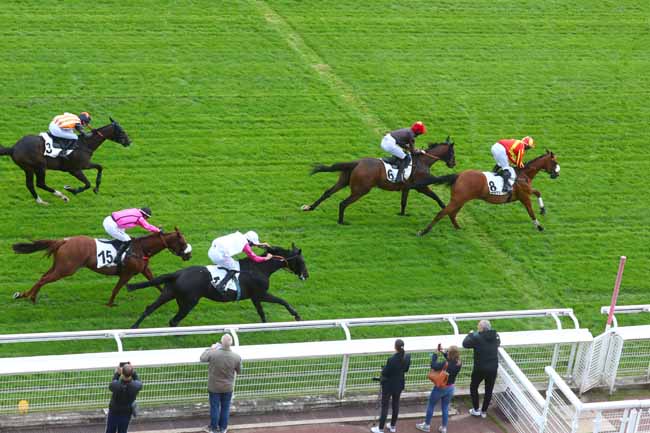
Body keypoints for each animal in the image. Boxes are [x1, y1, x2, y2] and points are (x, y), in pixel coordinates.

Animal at [0, 117, 132, 205]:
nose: (129, 142)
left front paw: (96, 188)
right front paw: (72, 190)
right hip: (40, 166)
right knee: (40, 184)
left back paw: (40, 201)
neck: (84, 144)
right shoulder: (74, 169)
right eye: (122, 131)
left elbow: (99, 167)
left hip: (29, 168)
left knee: (30, 185)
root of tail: (13, 148)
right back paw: (62, 196)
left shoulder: (85, 164)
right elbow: (87, 184)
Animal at [11, 228, 191, 306]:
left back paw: (26, 295)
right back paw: (30, 297)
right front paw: (110, 303)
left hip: (59, 266)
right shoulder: (127, 273)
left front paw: (167, 296)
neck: (140, 249)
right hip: (66, 269)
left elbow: (155, 282)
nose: (188, 255)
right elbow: (116, 289)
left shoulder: (144, 269)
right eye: (182, 242)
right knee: (44, 280)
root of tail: (64, 241)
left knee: (42, 277)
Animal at [127, 243, 308, 328]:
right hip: (189, 302)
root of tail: (178, 273)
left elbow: (261, 312)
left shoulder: (255, 297)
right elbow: (282, 301)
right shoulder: (261, 294)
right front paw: (297, 315)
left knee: (150, 308)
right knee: (173, 321)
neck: (259, 268)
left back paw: (135, 327)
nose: (306, 275)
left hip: (169, 293)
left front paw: (264, 326)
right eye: (301, 261)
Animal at [300, 137, 456, 223]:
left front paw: (402, 214)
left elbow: (403, 202)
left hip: (343, 181)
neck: (423, 161)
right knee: (343, 203)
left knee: (328, 192)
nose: (453, 163)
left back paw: (310, 207)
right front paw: (448, 211)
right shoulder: (421, 186)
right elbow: (436, 196)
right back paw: (341, 221)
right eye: (453, 153)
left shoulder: (407, 187)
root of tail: (357, 162)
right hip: (360, 190)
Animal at [410, 150, 556, 235]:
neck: (522, 174)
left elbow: (537, 192)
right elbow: (531, 210)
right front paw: (539, 226)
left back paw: (458, 228)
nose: (556, 174)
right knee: (442, 213)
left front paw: (542, 210)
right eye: (554, 162)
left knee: (451, 213)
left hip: (460, 200)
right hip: (458, 200)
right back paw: (424, 232)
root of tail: (458, 175)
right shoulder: (524, 196)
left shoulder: (525, 192)